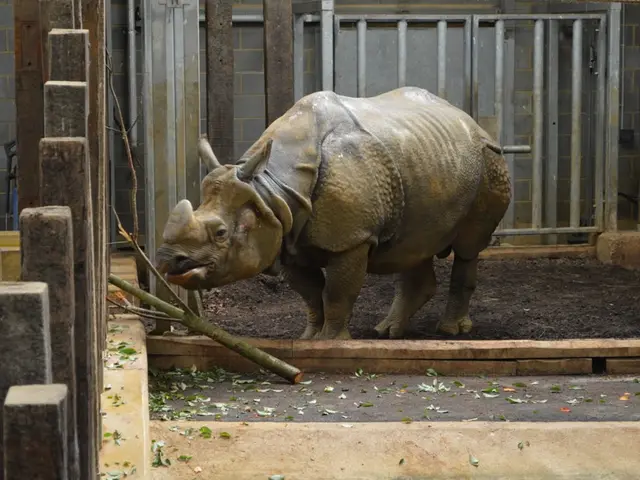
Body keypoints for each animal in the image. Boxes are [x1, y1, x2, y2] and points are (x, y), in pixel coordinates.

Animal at [154, 86, 512, 340]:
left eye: (221, 233)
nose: (169, 261)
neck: (270, 187)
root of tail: (470, 120)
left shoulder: (351, 239)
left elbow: (338, 292)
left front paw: (334, 341)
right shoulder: (287, 234)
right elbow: (311, 294)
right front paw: (310, 338)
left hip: (489, 160)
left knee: (468, 247)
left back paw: (449, 330)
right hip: (429, 159)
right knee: (414, 243)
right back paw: (388, 332)